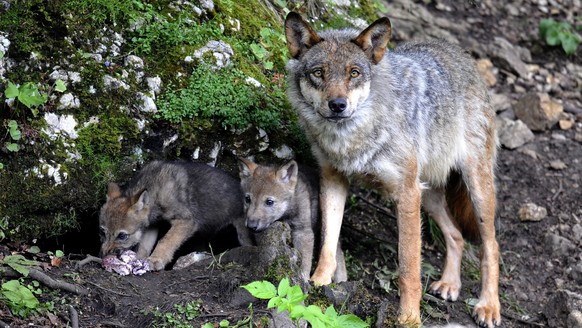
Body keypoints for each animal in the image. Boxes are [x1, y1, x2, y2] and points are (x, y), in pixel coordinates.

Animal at [286, 11, 502, 326]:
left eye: (354, 73)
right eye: (318, 72)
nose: (337, 105)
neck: (351, 139)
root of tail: (460, 54)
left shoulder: (406, 194)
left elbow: (409, 269)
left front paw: (410, 318)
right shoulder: (333, 179)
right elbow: (328, 242)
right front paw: (317, 283)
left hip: (475, 189)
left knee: (491, 245)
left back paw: (489, 306)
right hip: (429, 196)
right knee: (457, 236)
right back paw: (450, 284)